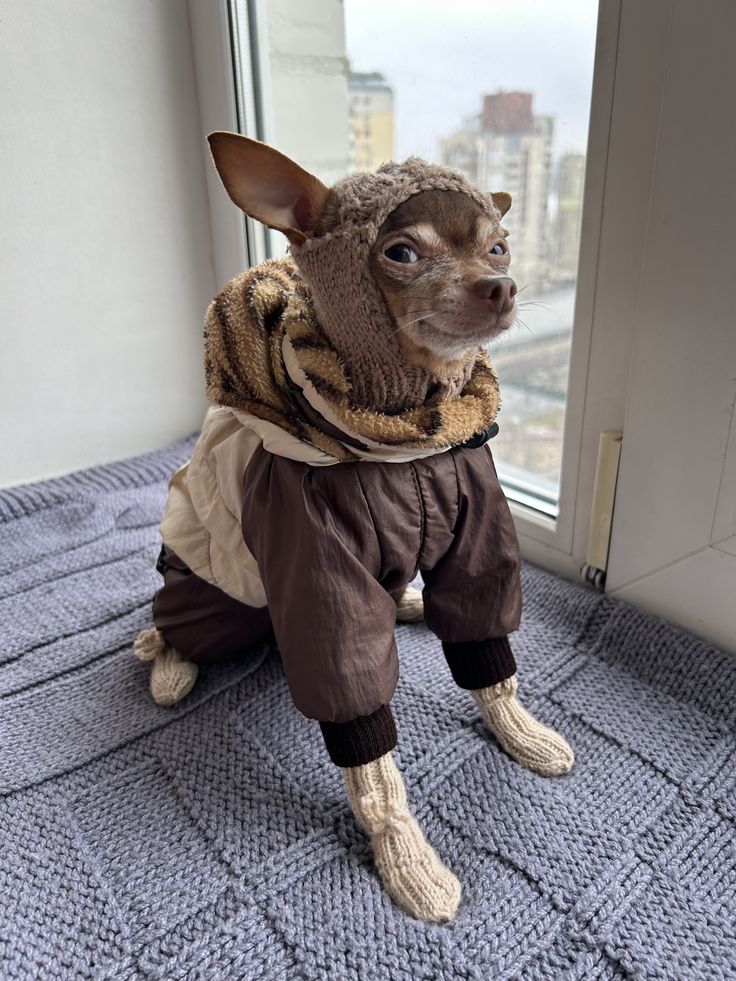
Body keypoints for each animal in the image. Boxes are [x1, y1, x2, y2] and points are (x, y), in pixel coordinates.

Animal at [134, 134, 576, 924]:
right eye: (401, 253)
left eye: (498, 246)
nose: (503, 285)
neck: (408, 446)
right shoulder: (320, 579)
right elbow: (367, 746)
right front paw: (404, 850)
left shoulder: (475, 535)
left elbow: (488, 654)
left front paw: (518, 729)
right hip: (219, 603)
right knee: (177, 626)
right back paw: (168, 662)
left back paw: (408, 603)